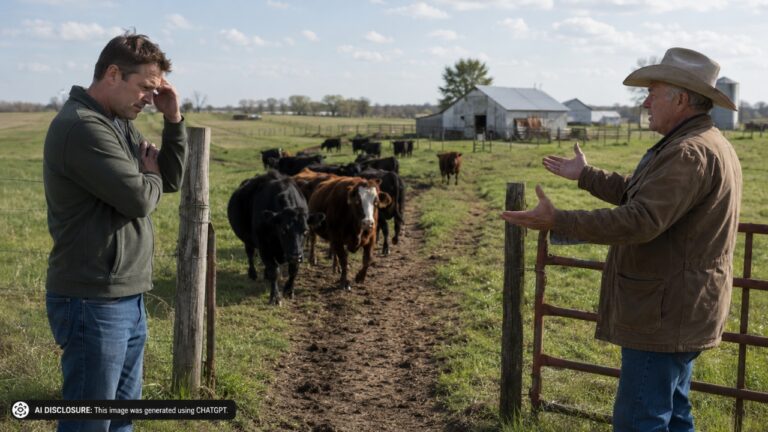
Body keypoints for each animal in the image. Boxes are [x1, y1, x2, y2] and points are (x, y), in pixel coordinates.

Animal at [227, 170, 324, 305]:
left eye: (305, 231)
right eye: (283, 230)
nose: (295, 256)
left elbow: (293, 269)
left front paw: (289, 290)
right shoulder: (264, 247)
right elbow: (274, 271)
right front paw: (275, 297)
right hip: (248, 240)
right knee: (250, 254)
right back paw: (253, 274)